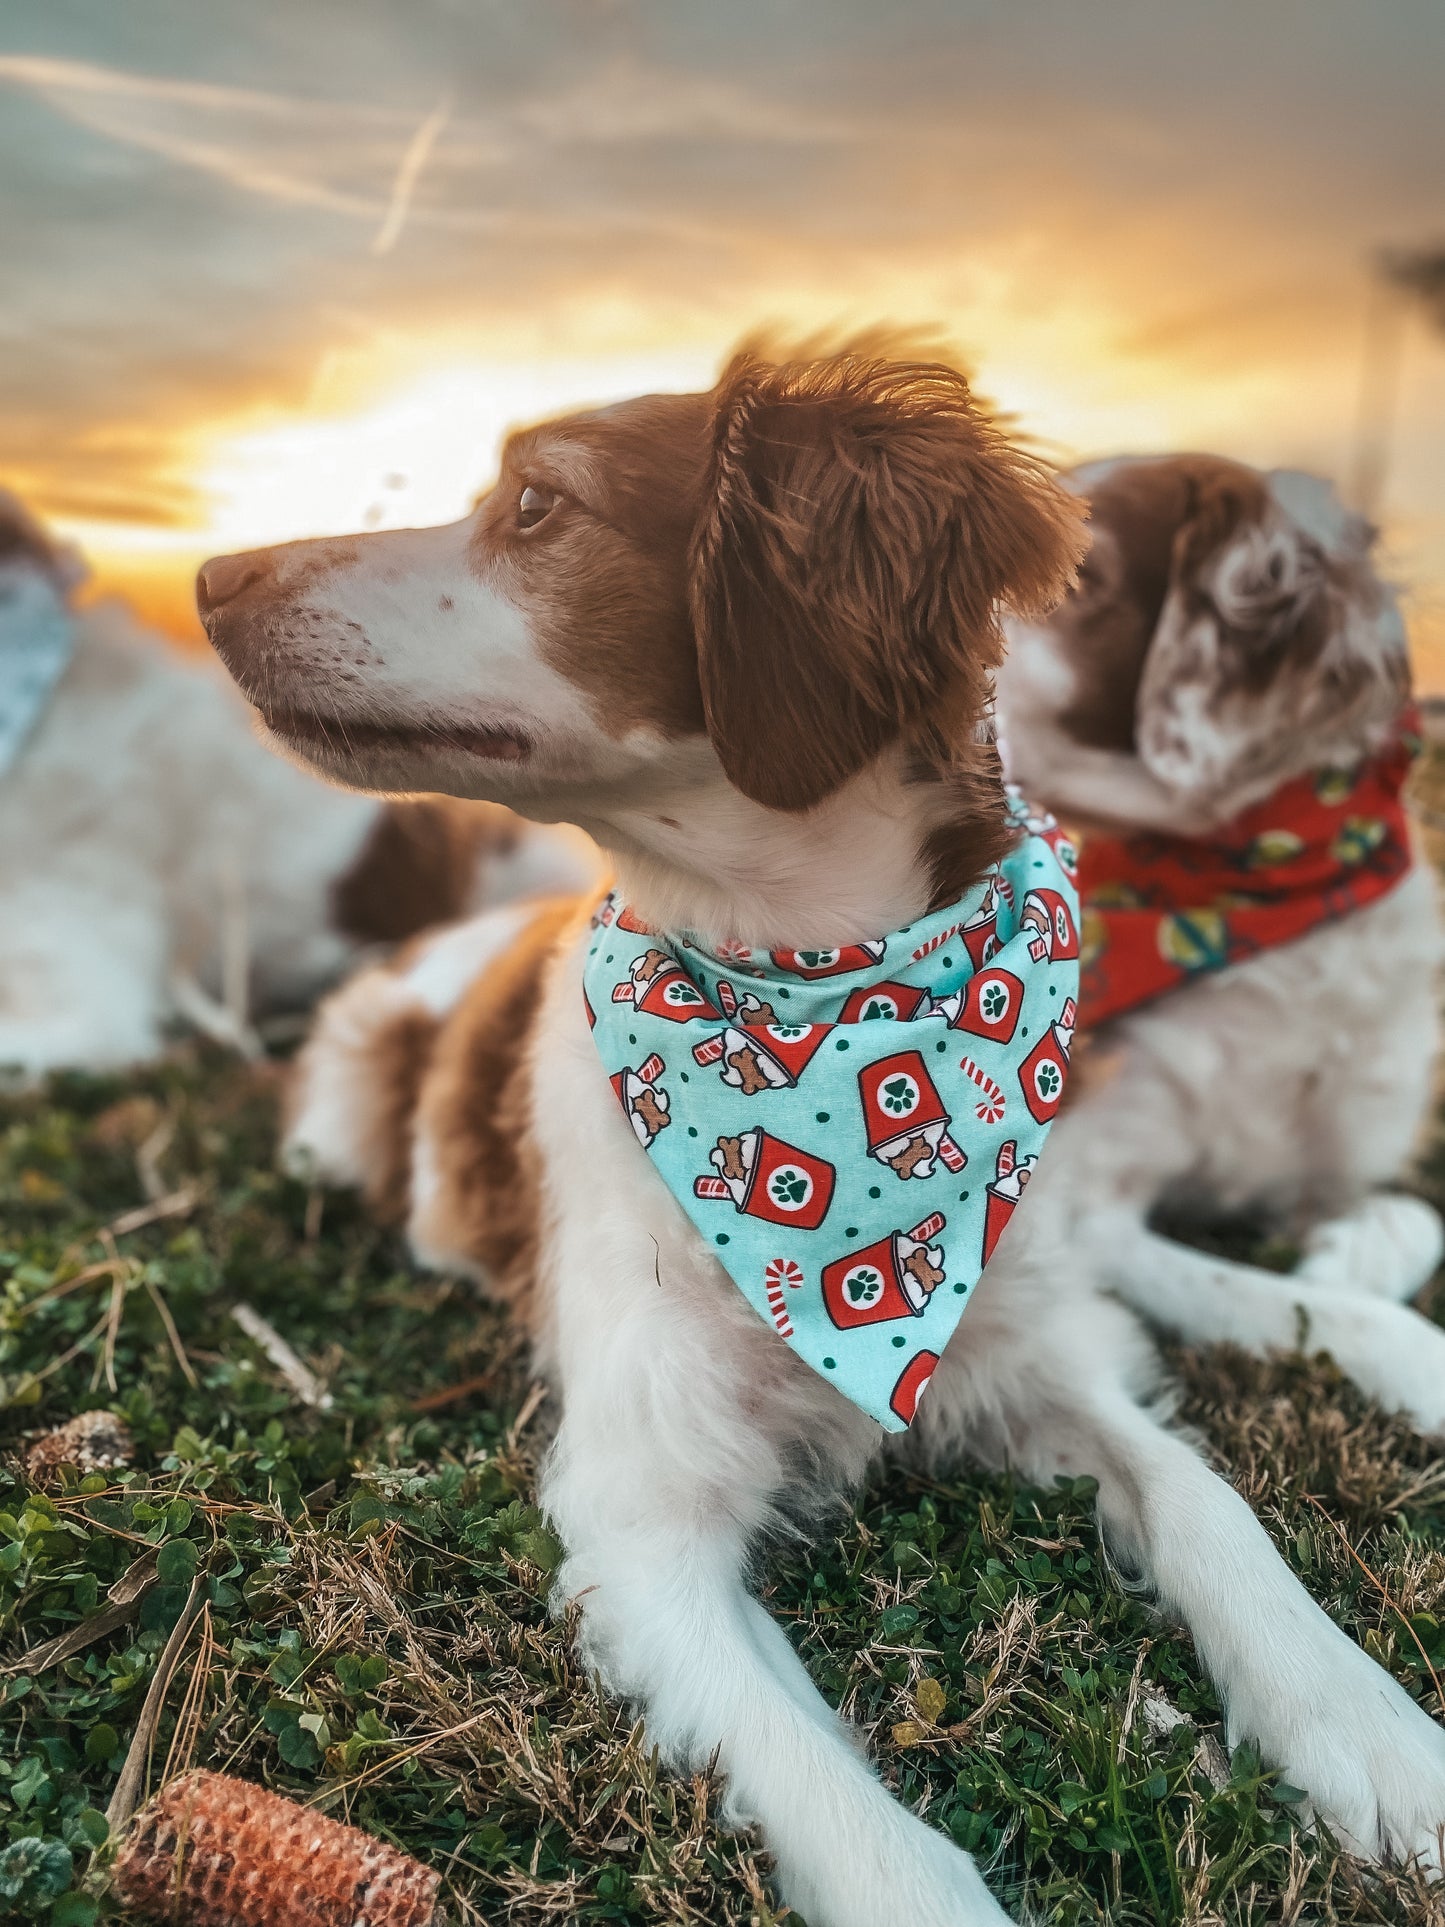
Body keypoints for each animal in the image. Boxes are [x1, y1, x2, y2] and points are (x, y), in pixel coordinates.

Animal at [1001, 450, 1445, 1433]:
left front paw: (1345, 1252)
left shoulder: (1348, 1157)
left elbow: (1413, 1217)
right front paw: (1418, 1358)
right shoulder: (1086, 1202)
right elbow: (1286, 1301)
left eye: (1079, 576)